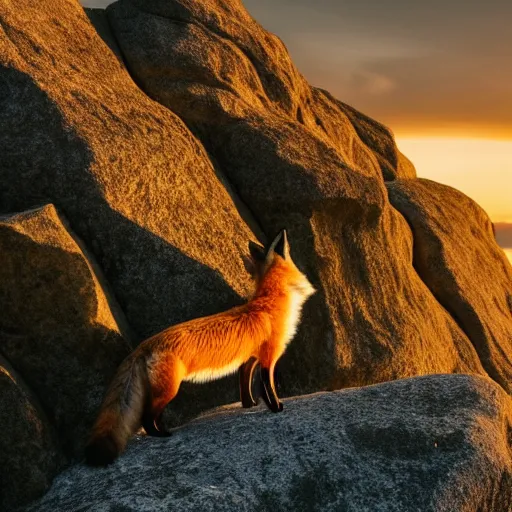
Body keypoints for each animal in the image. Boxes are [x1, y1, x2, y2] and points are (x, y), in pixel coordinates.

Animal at [85, 230, 314, 466]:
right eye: (279, 245)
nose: (284, 232)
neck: (270, 301)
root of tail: (144, 344)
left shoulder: (249, 359)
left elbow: (244, 384)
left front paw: (249, 405)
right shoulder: (270, 357)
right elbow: (269, 388)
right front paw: (276, 408)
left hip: (163, 390)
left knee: (151, 416)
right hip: (169, 390)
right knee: (146, 418)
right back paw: (162, 435)